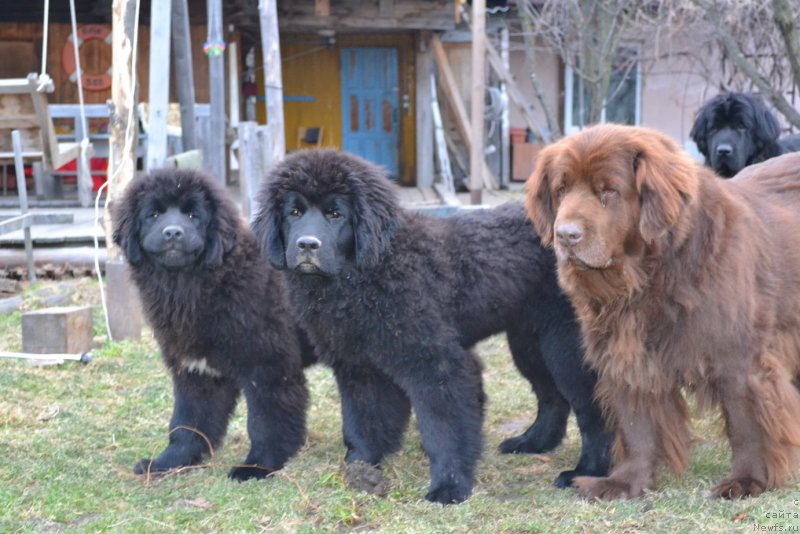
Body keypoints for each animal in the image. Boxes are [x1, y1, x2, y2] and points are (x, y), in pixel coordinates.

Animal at [113, 170, 312, 484]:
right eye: (154, 214)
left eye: (193, 215)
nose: (173, 233)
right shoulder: (197, 369)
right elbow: (187, 422)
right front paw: (169, 462)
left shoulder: (268, 366)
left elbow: (266, 422)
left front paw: (257, 466)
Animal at [253, 151, 608, 506]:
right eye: (294, 212)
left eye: (335, 214)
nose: (306, 245)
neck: (369, 273)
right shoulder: (357, 366)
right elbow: (361, 421)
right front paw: (360, 468)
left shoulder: (434, 363)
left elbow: (444, 428)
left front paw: (449, 487)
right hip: (531, 342)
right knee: (552, 397)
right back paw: (532, 443)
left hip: (565, 345)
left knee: (592, 410)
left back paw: (585, 472)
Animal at [524, 125, 800, 502]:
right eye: (561, 190)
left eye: (608, 191)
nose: (565, 235)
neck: (651, 275)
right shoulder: (628, 354)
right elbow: (636, 425)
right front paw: (623, 483)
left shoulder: (738, 358)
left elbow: (746, 423)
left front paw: (746, 482)